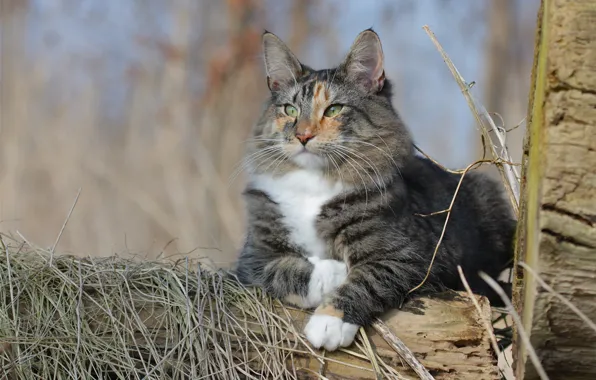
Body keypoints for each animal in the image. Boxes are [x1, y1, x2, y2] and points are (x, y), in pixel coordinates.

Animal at [235, 28, 516, 352]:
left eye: (334, 109)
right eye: (290, 110)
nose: (303, 135)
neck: (313, 182)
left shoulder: (413, 255)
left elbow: (367, 278)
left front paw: (329, 322)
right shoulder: (252, 257)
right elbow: (284, 268)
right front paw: (331, 272)